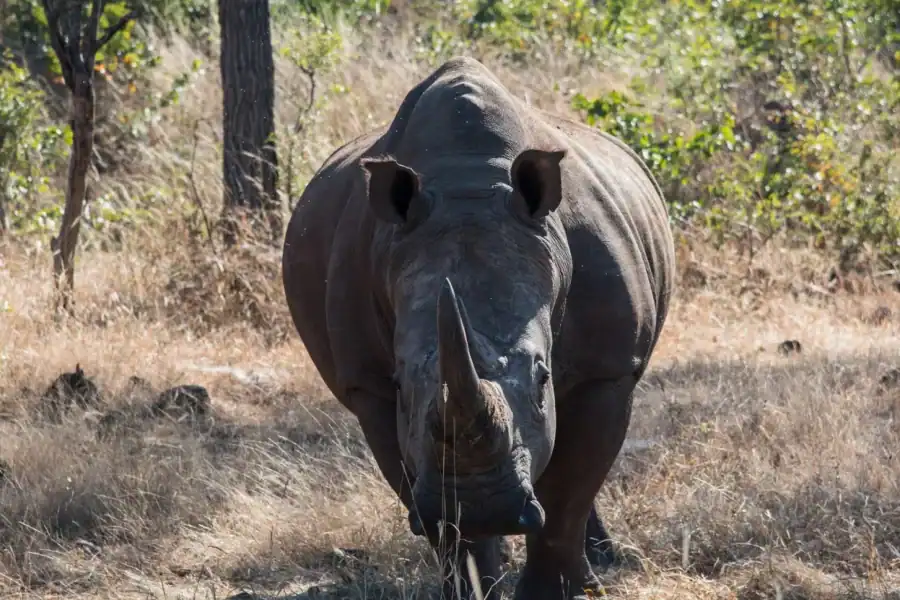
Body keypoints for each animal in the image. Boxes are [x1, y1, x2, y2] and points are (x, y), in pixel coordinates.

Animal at [282, 56, 675, 600]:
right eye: (402, 384)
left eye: (543, 379)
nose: (485, 504)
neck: (468, 183)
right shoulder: (369, 385)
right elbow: (441, 516)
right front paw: (473, 578)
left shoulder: (608, 369)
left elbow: (570, 491)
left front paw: (551, 592)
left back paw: (599, 564)